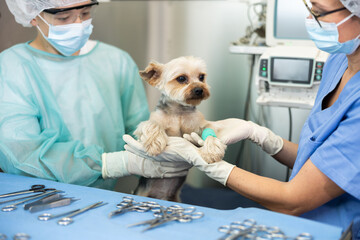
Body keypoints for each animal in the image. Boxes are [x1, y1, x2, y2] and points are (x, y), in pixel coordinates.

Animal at [134, 57, 226, 202]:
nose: (199, 89)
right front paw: (154, 144)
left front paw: (212, 150)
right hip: (141, 193)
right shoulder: (150, 121)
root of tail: (161, 196)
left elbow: (209, 131)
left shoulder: (199, 125)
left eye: (201, 77)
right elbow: (152, 125)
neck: (179, 111)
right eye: (181, 78)